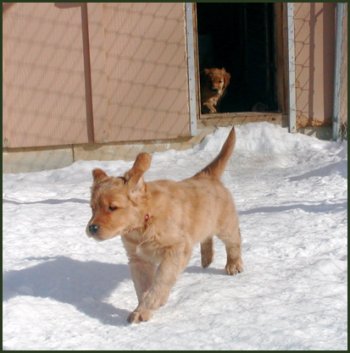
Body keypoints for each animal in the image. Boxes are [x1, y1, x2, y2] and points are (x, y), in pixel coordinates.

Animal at [86, 126, 242, 322]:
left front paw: (145, 308)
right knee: (206, 236)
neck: (144, 223)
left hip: (225, 224)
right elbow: (143, 287)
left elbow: (160, 281)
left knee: (234, 240)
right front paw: (143, 306)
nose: (92, 228)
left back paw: (233, 265)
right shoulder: (137, 259)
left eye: (112, 207)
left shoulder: (175, 249)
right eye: (92, 208)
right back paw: (206, 258)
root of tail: (207, 175)